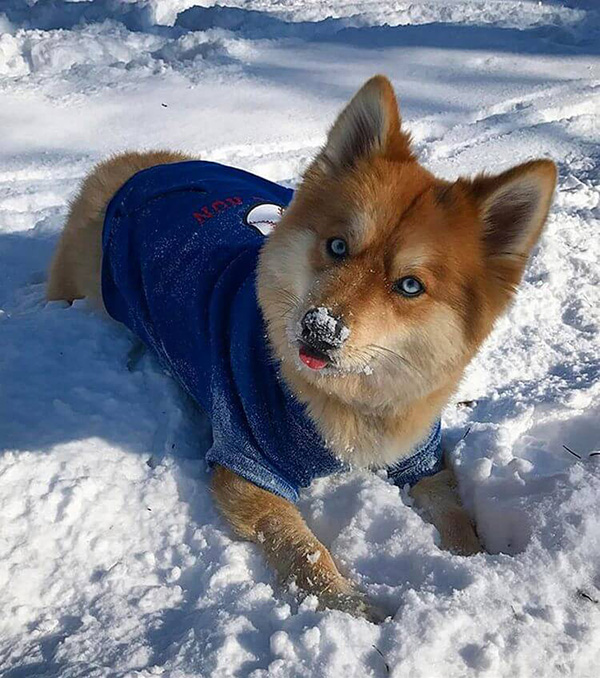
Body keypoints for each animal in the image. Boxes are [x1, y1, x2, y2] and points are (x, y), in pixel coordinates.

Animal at [47, 74, 556, 620]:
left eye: (410, 286)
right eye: (337, 247)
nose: (319, 328)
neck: (348, 403)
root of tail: (145, 165)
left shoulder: (422, 457)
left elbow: (455, 512)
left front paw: (477, 565)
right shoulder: (246, 470)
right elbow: (303, 548)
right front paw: (354, 607)